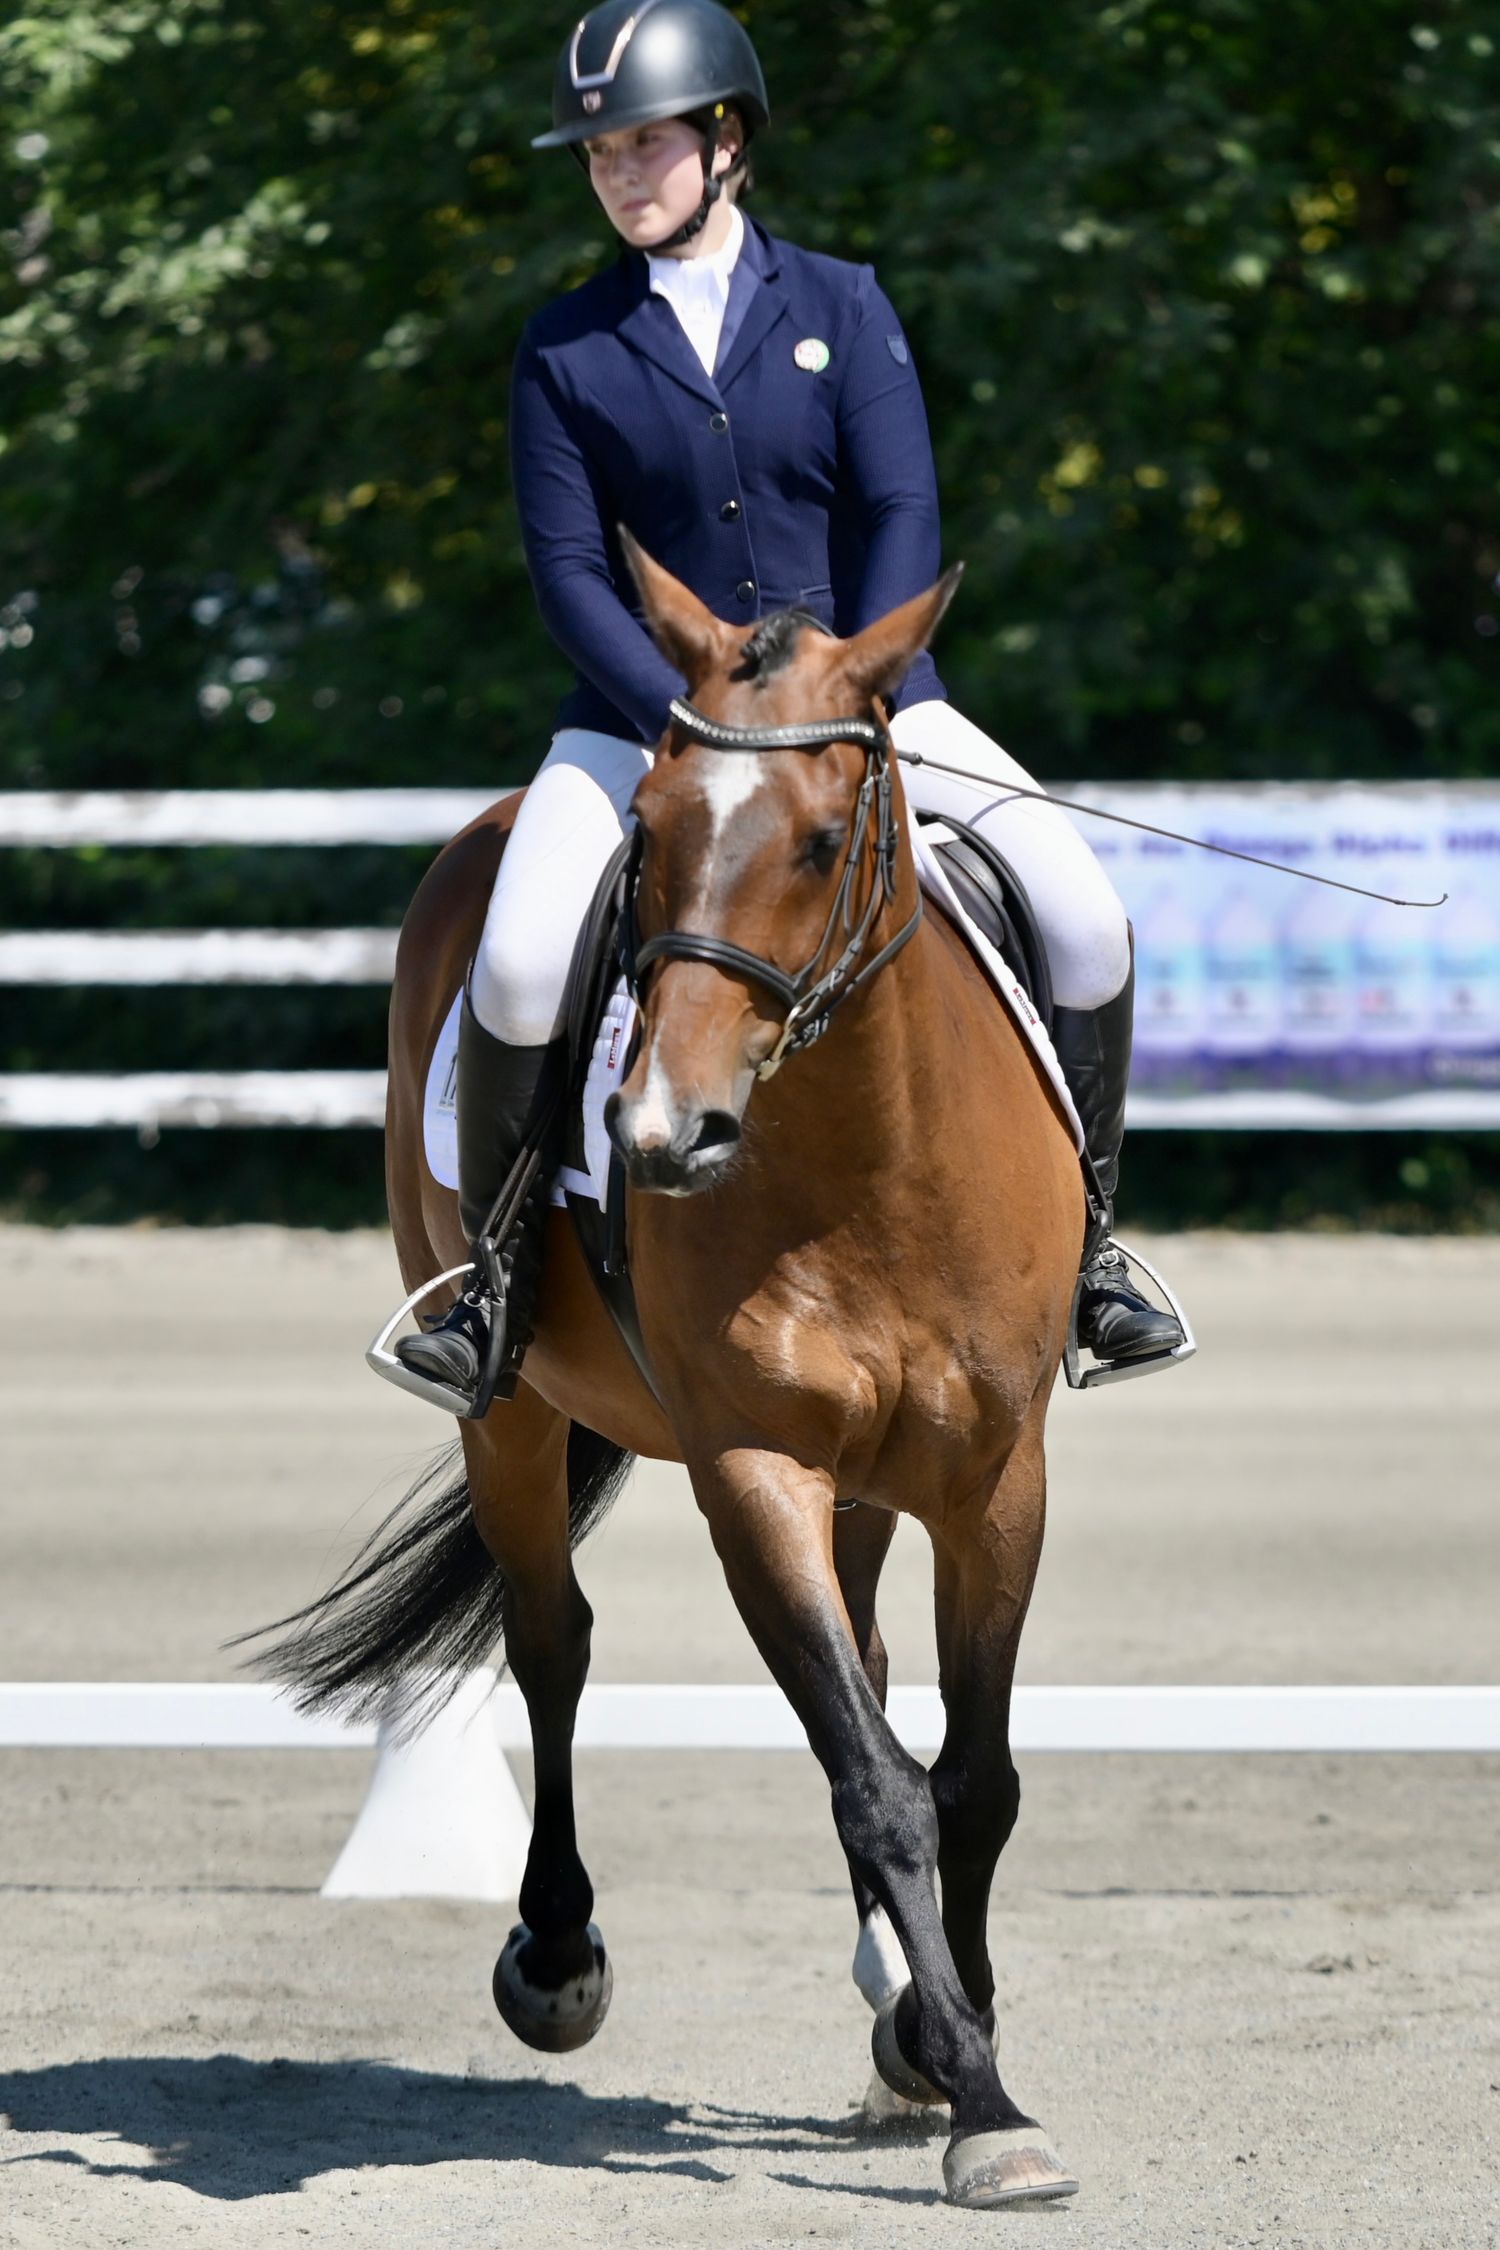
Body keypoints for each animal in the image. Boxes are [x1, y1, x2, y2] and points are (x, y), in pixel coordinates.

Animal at [254, 539, 1086, 2209]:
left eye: (826, 839)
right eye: (647, 837)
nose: (660, 1135)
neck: (867, 1164)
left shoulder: (996, 1476)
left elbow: (971, 1774)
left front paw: (945, 2036)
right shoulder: (751, 1468)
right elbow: (882, 1781)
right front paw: (979, 2090)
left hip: (874, 1482)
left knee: (868, 1670)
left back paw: (892, 1994)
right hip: (509, 1413)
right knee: (552, 1639)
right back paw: (556, 1959)